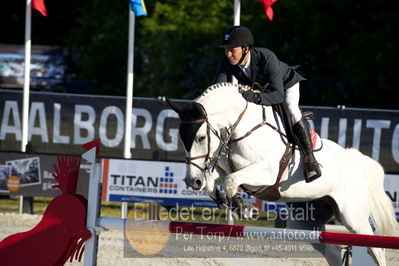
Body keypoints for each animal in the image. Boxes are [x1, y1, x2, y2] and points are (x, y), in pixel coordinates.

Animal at [167, 82, 399, 264]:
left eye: (200, 138)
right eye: (182, 139)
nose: (192, 181)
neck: (243, 128)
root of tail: (354, 160)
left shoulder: (266, 173)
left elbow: (231, 181)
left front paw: (245, 208)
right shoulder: (223, 166)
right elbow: (216, 181)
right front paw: (231, 202)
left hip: (353, 218)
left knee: (376, 250)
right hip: (308, 221)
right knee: (333, 252)